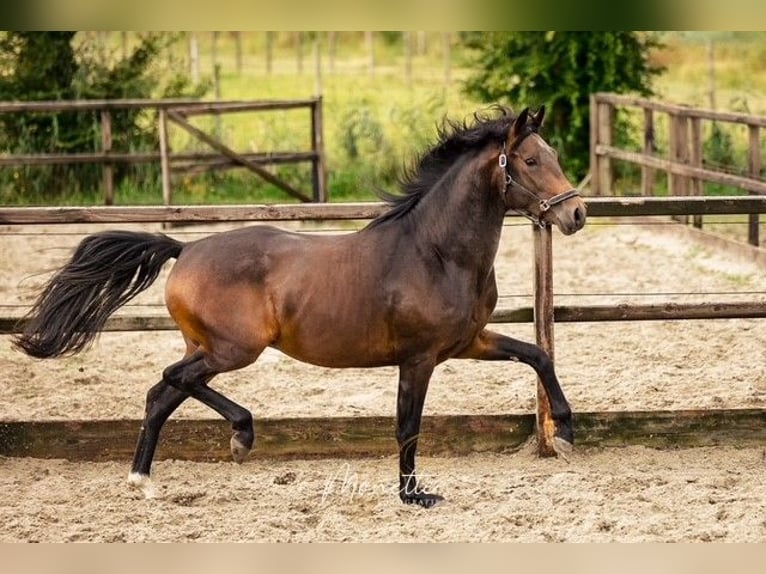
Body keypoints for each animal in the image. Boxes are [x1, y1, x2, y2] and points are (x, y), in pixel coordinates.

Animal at [12, 106, 588, 510]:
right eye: (531, 161)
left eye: (554, 156)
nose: (577, 214)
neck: (435, 251)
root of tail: (185, 249)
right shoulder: (419, 358)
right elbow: (407, 425)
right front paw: (413, 496)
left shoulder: (468, 342)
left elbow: (538, 355)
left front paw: (565, 432)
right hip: (232, 349)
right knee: (172, 379)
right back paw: (239, 436)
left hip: (210, 349)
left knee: (161, 394)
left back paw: (145, 480)